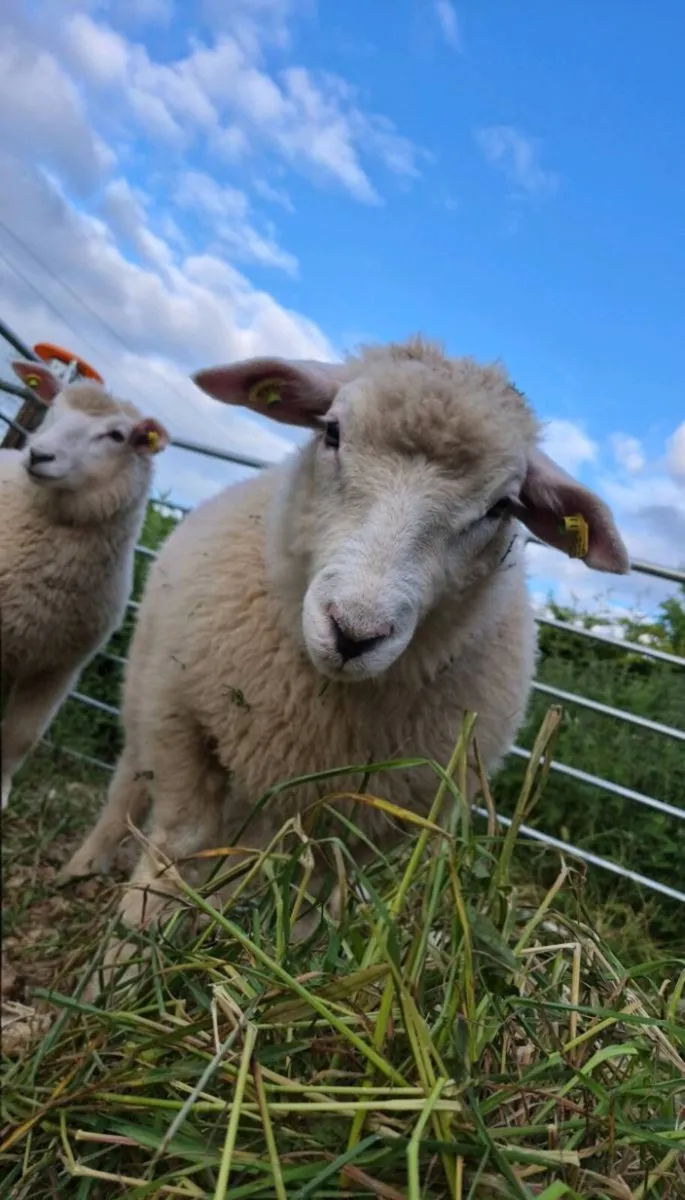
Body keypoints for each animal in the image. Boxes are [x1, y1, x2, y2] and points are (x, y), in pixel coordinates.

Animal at [60, 335, 629, 975]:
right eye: (331, 432)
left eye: (501, 506)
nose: (354, 633)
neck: (317, 708)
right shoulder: (183, 727)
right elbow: (174, 853)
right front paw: (121, 969)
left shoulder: (370, 821)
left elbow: (310, 902)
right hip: (147, 696)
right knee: (127, 787)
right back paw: (86, 864)